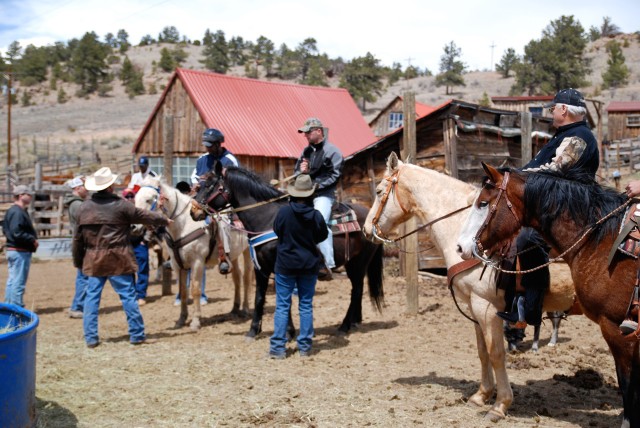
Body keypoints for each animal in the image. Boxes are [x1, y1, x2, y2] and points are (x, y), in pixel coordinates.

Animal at [135, 177, 252, 332]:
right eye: (135, 198)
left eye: (148, 200)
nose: (134, 226)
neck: (184, 224)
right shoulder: (178, 265)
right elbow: (183, 291)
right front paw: (181, 319)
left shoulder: (197, 262)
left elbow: (195, 289)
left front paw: (195, 321)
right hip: (232, 255)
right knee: (237, 278)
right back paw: (234, 309)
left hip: (248, 251)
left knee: (246, 278)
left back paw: (245, 309)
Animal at [188, 166, 382, 340]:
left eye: (210, 186)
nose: (193, 211)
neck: (267, 219)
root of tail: (369, 217)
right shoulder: (261, 268)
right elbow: (259, 297)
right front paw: (253, 331)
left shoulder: (282, 267)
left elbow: (284, 299)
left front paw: (288, 332)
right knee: (358, 289)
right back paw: (355, 322)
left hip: (359, 263)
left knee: (356, 289)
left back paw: (344, 326)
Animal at [362, 153, 576, 422]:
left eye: (380, 191)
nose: (366, 229)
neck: (463, 229)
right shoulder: (474, 308)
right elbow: (482, 351)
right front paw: (481, 395)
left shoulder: (485, 307)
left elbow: (496, 353)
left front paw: (500, 404)